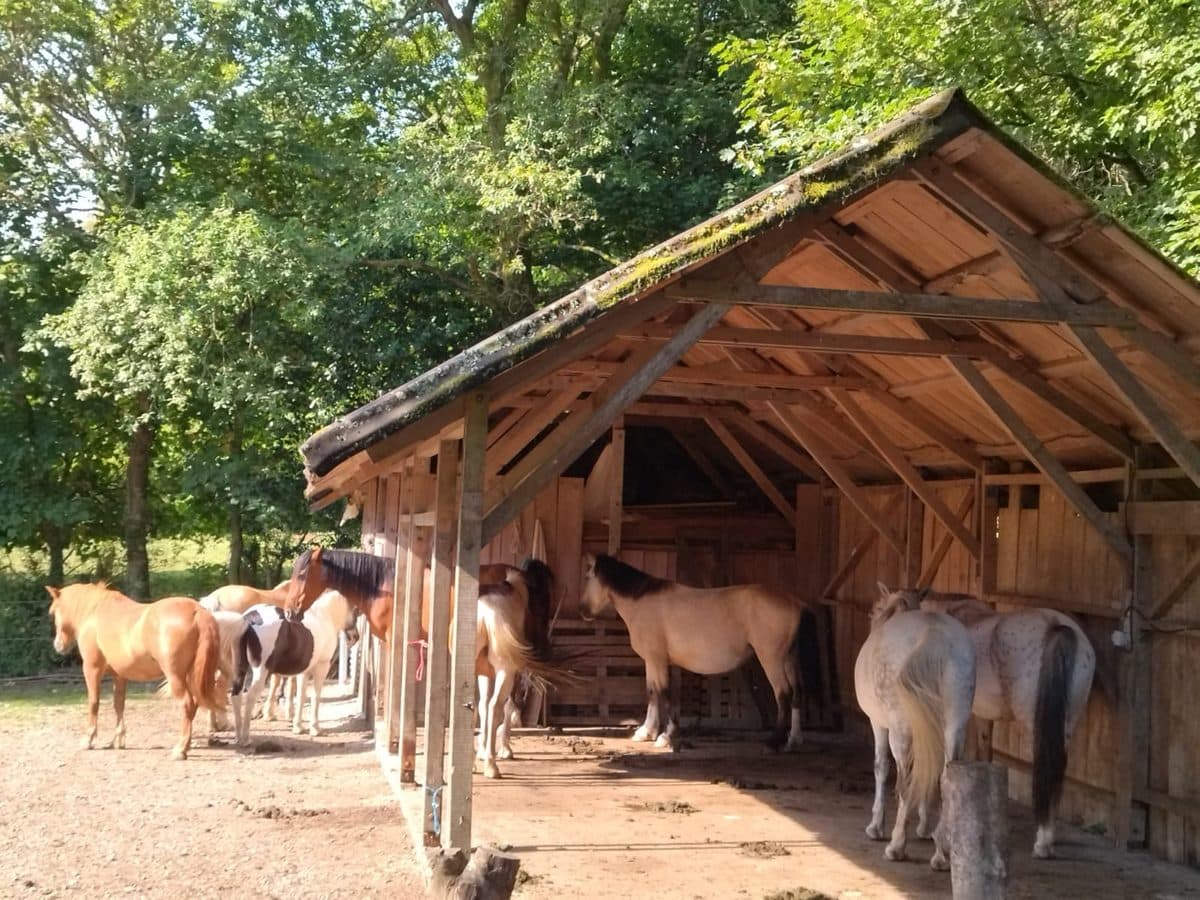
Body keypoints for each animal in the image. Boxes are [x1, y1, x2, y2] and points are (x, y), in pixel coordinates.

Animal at [46, 583, 226, 760]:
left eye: (54, 612)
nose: (58, 645)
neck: (94, 614)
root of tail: (197, 611)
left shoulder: (92, 669)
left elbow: (94, 703)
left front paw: (88, 740)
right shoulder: (119, 675)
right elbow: (119, 704)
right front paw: (118, 740)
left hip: (176, 677)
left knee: (187, 704)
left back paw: (180, 750)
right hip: (192, 676)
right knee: (194, 704)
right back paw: (186, 745)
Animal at [578, 553, 809, 751]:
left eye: (588, 576)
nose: (582, 611)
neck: (642, 601)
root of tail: (794, 602)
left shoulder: (658, 660)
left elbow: (664, 692)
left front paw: (666, 736)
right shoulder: (651, 660)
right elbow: (652, 692)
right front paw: (646, 732)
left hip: (772, 659)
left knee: (783, 693)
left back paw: (774, 741)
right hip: (789, 659)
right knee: (797, 692)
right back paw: (794, 740)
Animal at [854, 583, 976, 870]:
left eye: (873, 611)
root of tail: (934, 633)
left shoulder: (878, 724)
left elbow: (881, 768)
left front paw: (875, 827)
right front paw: (924, 828)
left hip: (901, 731)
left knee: (906, 779)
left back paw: (896, 846)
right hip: (955, 727)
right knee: (945, 776)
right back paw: (942, 852)